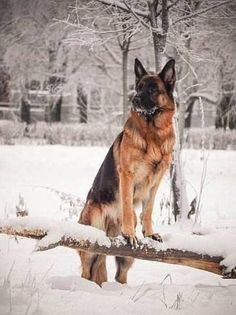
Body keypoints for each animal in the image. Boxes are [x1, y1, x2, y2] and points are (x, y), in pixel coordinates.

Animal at [78, 58, 176, 288]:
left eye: (152, 89)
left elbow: (147, 210)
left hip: (125, 258)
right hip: (92, 236)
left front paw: (149, 234)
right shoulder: (127, 176)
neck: (153, 135)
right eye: (138, 87)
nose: (135, 99)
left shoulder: (156, 182)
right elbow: (127, 208)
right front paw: (130, 233)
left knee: (119, 275)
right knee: (86, 271)